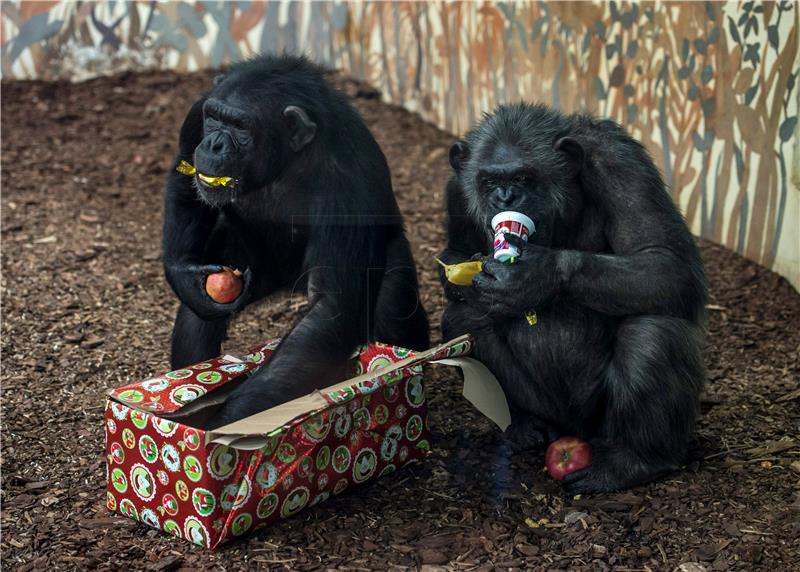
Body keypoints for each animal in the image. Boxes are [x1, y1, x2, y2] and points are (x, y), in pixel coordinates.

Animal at [162, 55, 432, 426]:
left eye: (240, 127)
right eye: (214, 117)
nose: (214, 143)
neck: (285, 159)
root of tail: (290, 283)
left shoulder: (349, 182)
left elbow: (330, 308)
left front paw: (227, 426)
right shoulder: (194, 117)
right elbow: (184, 172)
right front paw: (181, 272)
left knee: (393, 304)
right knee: (198, 316)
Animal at [440, 104, 708, 496]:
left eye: (524, 179)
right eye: (488, 181)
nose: (505, 198)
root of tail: (572, 429)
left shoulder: (622, 166)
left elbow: (666, 260)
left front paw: (534, 277)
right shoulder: (456, 191)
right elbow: (456, 257)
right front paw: (479, 281)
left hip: (598, 421)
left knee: (653, 330)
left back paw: (634, 460)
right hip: (545, 405)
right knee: (464, 318)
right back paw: (524, 425)